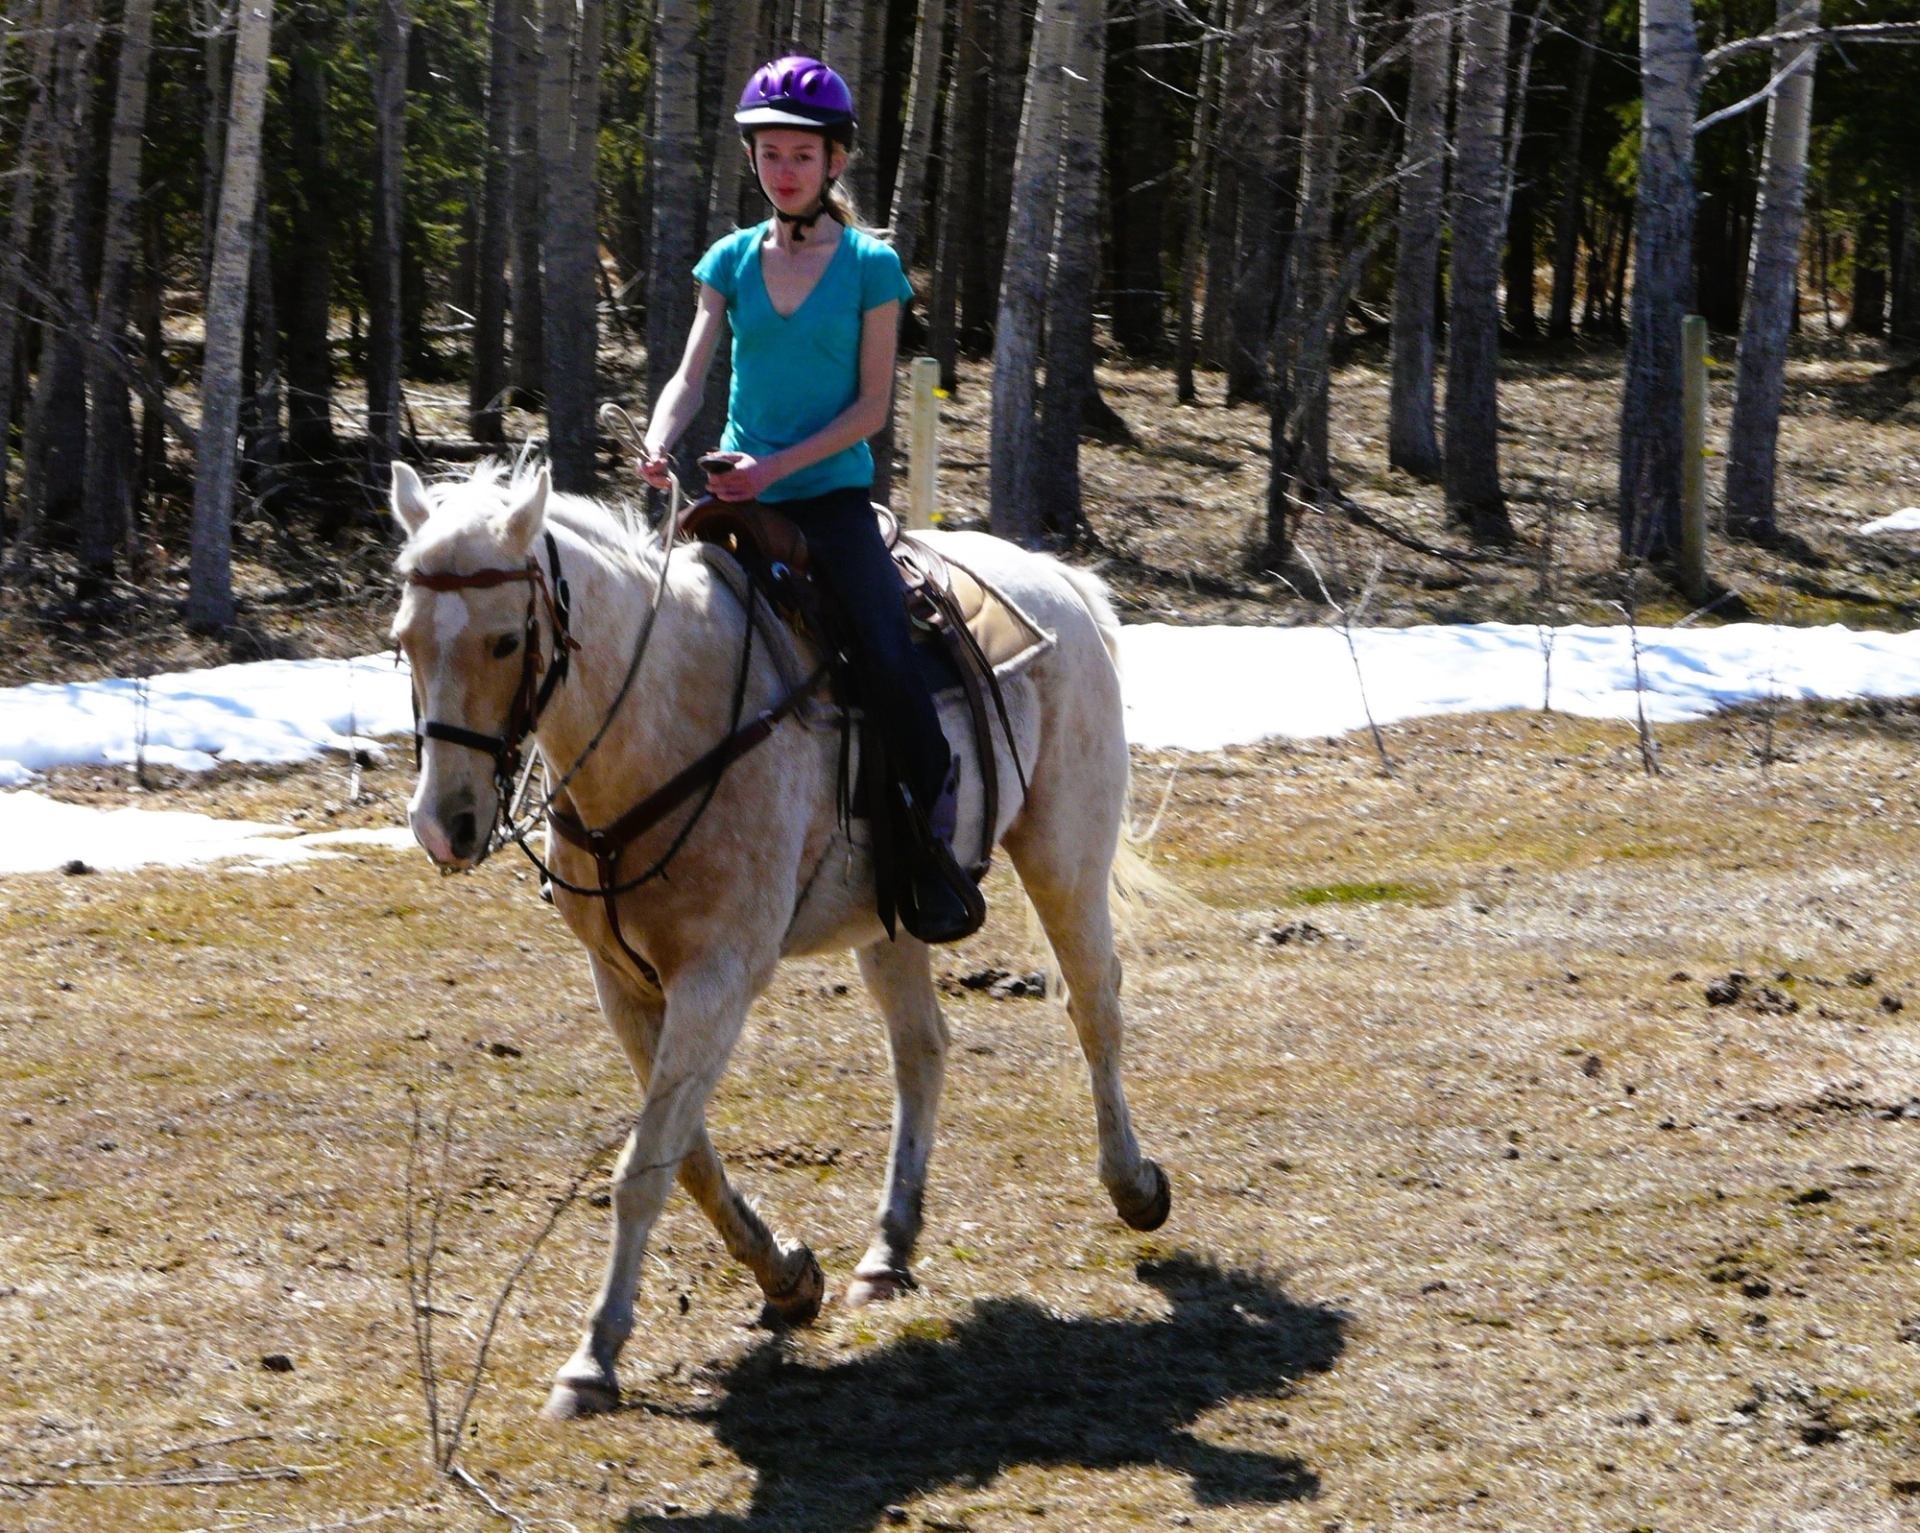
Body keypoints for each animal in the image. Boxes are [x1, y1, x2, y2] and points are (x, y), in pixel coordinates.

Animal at [386, 460, 1171, 1421]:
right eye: (404, 639)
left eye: (504, 641)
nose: (444, 825)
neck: (661, 716)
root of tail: (1061, 579)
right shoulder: (625, 983)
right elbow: (683, 1154)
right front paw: (787, 1275)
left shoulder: (717, 979)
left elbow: (644, 1167)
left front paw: (594, 1357)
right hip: (895, 916)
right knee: (922, 1048)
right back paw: (889, 1248)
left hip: (1065, 854)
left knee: (1095, 1009)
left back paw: (1134, 1183)